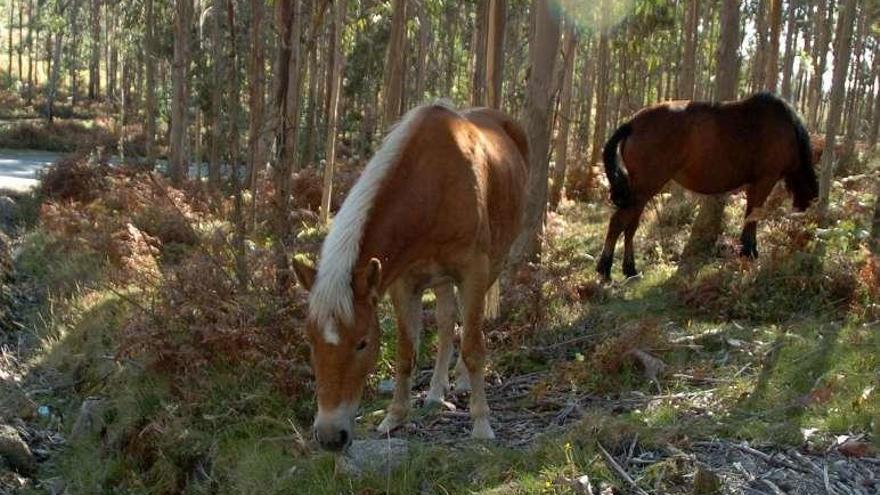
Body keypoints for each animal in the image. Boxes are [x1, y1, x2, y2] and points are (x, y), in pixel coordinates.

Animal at [294, 100, 528, 450]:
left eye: (362, 343)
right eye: (310, 341)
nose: (331, 437)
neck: (433, 186)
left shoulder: (473, 270)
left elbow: (473, 347)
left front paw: (481, 423)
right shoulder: (402, 283)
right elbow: (406, 352)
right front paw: (394, 417)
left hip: (492, 264)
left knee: (468, 325)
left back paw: (460, 382)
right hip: (441, 280)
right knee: (446, 321)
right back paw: (435, 392)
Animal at [600, 91, 820, 280]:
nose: (804, 250)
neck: (787, 129)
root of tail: (632, 123)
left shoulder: (754, 184)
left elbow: (749, 215)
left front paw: (746, 250)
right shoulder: (765, 180)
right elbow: (753, 217)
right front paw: (749, 252)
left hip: (641, 191)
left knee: (630, 226)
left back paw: (630, 270)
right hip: (645, 187)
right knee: (618, 222)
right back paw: (605, 268)